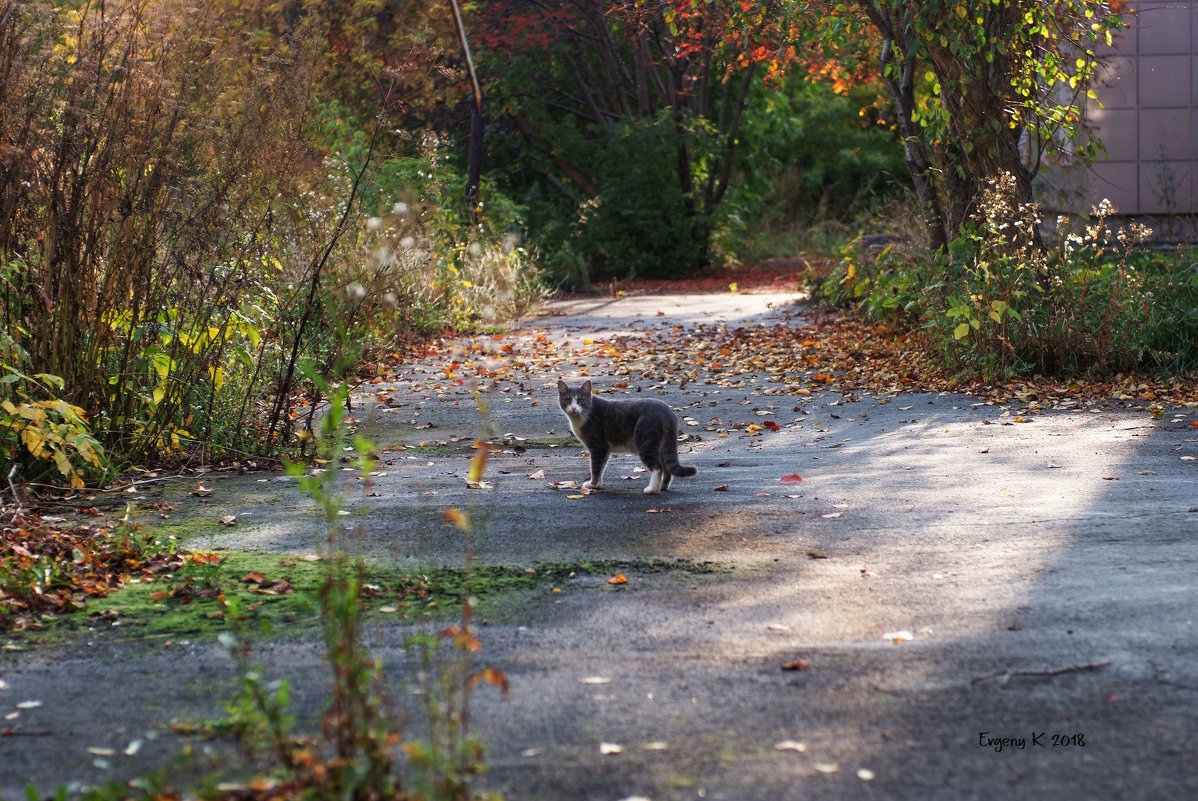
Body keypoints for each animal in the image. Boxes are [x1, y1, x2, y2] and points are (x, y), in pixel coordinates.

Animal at [555, 375, 699, 493]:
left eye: (581, 400)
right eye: (567, 400)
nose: (574, 408)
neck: (582, 417)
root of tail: (666, 410)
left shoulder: (598, 447)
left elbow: (595, 467)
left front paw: (592, 485)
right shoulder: (605, 450)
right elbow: (601, 468)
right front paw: (598, 484)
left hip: (645, 440)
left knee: (658, 467)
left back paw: (652, 489)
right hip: (662, 444)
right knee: (666, 466)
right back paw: (662, 487)